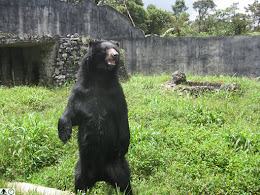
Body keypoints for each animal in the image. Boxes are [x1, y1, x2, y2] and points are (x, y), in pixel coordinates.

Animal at [58, 40, 132, 194]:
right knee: (79, 182)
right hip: (81, 168)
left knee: (125, 183)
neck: (100, 78)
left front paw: (123, 146)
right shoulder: (79, 92)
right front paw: (64, 135)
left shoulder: (116, 93)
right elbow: (71, 113)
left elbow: (122, 116)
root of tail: (100, 175)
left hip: (119, 166)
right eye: (106, 49)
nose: (115, 55)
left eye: (116, 49)